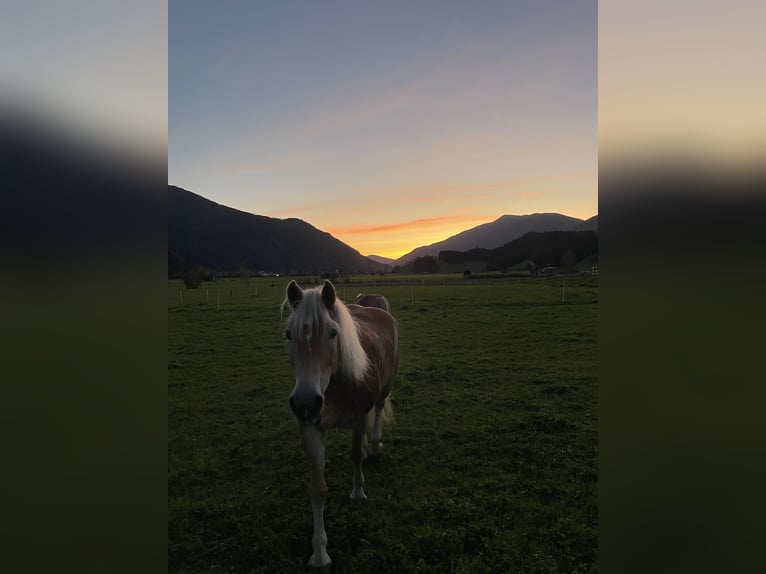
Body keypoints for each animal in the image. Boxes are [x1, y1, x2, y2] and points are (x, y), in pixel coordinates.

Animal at [284, 280, 402, 572]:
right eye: (289, 335)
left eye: (332, 333)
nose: (305, 402)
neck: (333, 385)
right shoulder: (311, 428)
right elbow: (318, 488)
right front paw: (319, 552)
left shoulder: (358, 417)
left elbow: (355, 456)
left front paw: (358, 492)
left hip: (385, 387)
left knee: (378, 410)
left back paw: (375, 445)